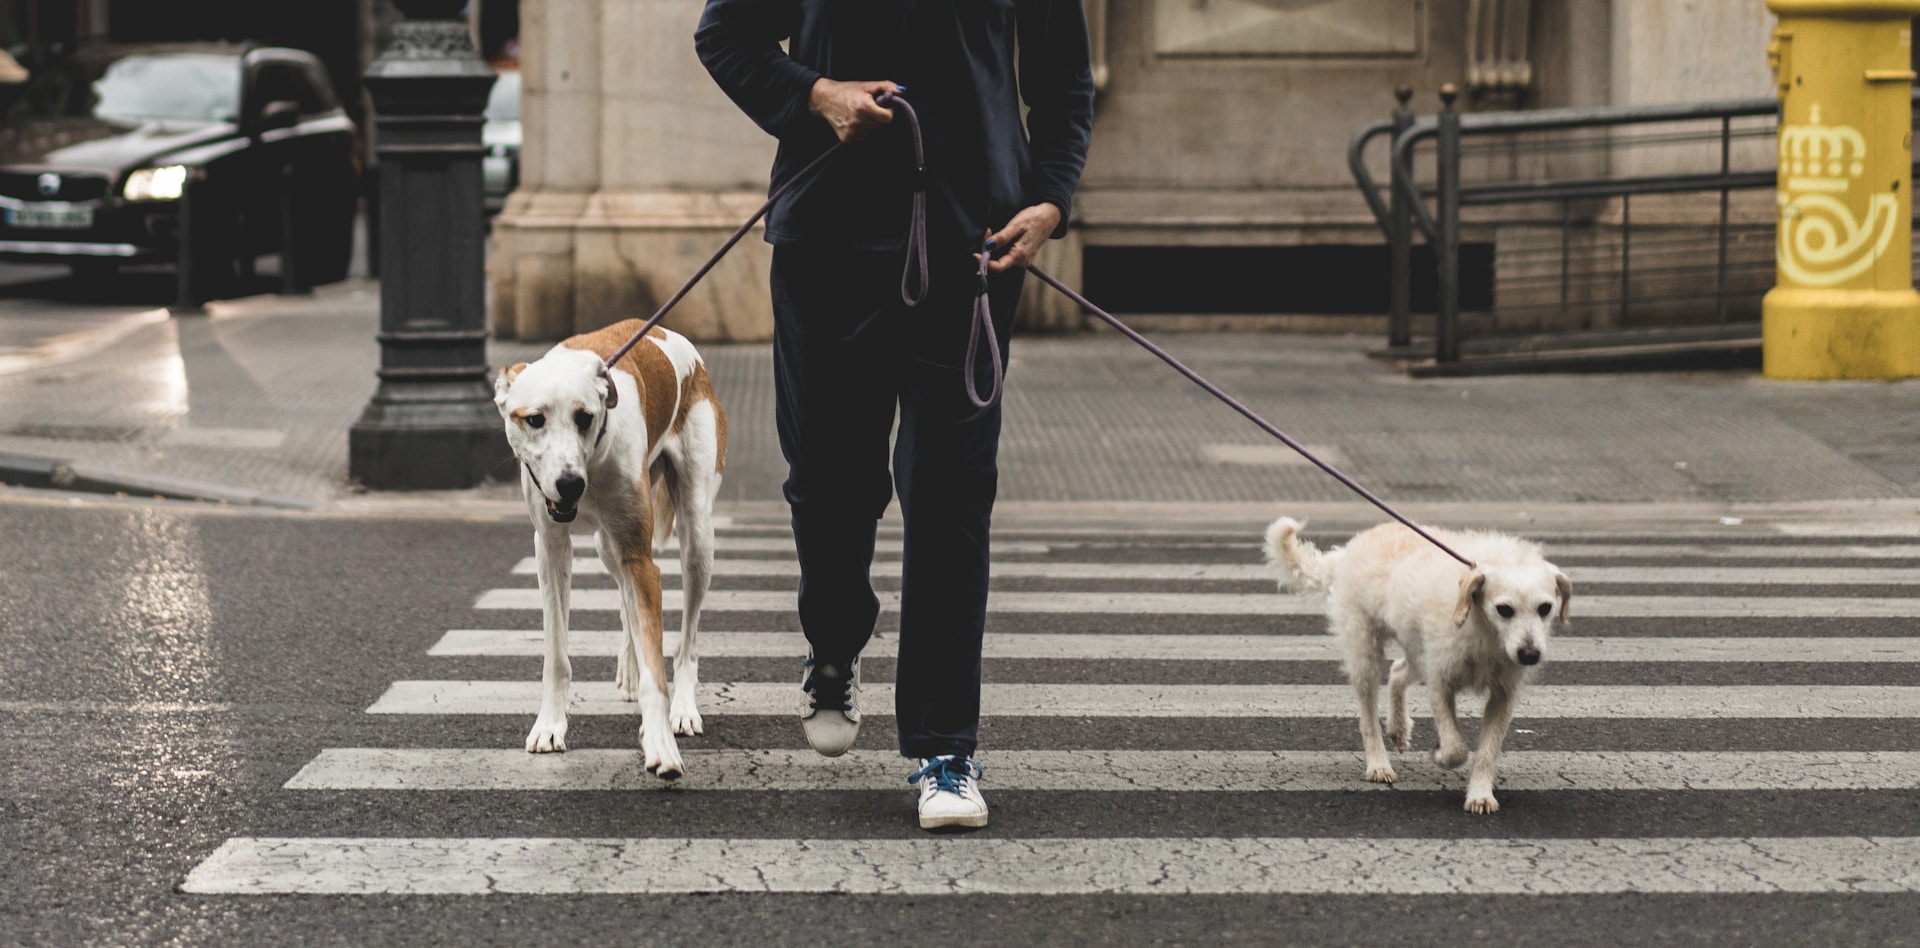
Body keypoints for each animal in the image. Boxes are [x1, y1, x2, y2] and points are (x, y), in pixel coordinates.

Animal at [495, 318, 725, 779]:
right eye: (535, 419)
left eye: (585, 417)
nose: (570, 484)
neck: (594, 460)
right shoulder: (551, 548)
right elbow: (556, 653)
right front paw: (550, 725)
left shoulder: (641, 556)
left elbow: (658, 670)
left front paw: (661, 743)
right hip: (606, 544)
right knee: (624, 598)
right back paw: (630, 667)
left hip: (697, 532)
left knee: (686, 638)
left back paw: (683, 707)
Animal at [1267, 518, 1566, 813]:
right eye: (1505, 609)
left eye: (1545, 608)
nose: (1530, 655)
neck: (1485, 630)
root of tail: (1348, 551)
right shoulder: (1440, 684)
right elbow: (1456, 748)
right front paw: (1440, 755)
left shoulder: (1503, 694)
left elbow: (1487, 751)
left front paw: (1480, 794)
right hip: (1365, 652)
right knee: (1368, 713)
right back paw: (1378, 763)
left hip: (1418, 652)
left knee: (1397, 672)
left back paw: (1398, 729)